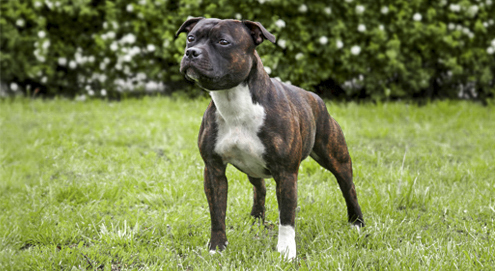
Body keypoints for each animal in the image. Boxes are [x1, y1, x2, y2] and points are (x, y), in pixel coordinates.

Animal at [175, 18, 364, 260]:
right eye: (191, 38)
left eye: (223, 42)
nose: (191, 52)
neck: (234, 102)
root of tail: (315, 97)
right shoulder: (213, 169)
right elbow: (217, 212)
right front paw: (217, 248)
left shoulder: (286, 173)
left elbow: (287, 217)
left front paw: (286, 252)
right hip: (252, 167)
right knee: (260, 188)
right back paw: (256, 221)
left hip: (336, 158)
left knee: (349, 188)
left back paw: (357, 223)